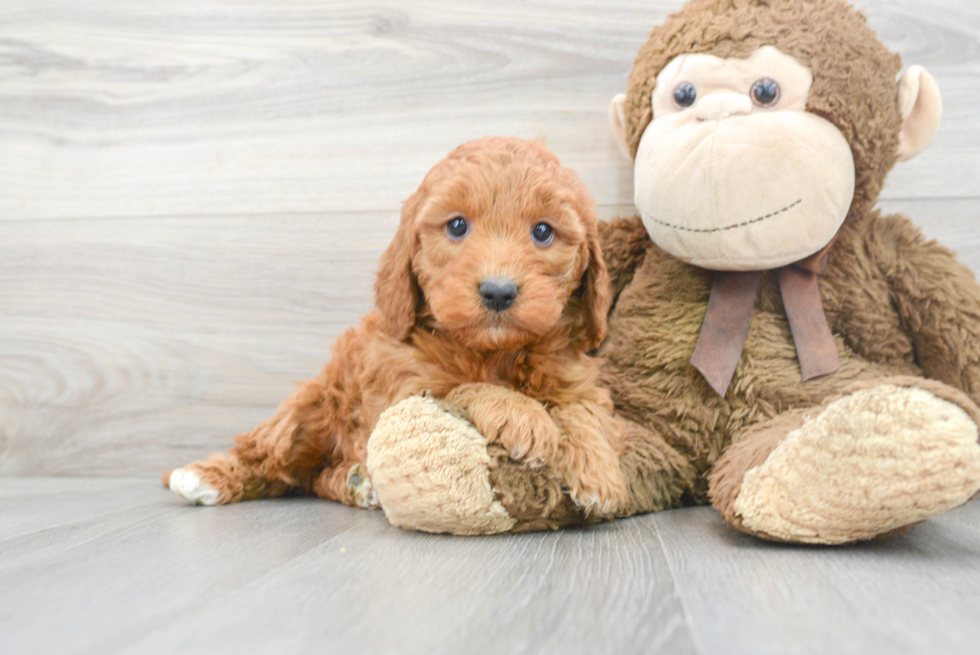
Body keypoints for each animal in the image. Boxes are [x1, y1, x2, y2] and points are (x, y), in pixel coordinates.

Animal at [167, 138, 628, 516]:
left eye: (543, 231)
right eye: (457, 225)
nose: (498, 292)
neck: (493, 350)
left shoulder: (576, 378)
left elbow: (582, 410)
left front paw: (599, 474)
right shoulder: (405, 386)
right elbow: (463, 386)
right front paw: (522, 415)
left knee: (313, 478)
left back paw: (356, 481)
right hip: (310, 409)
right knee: (270, 457)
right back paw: (204, 477)